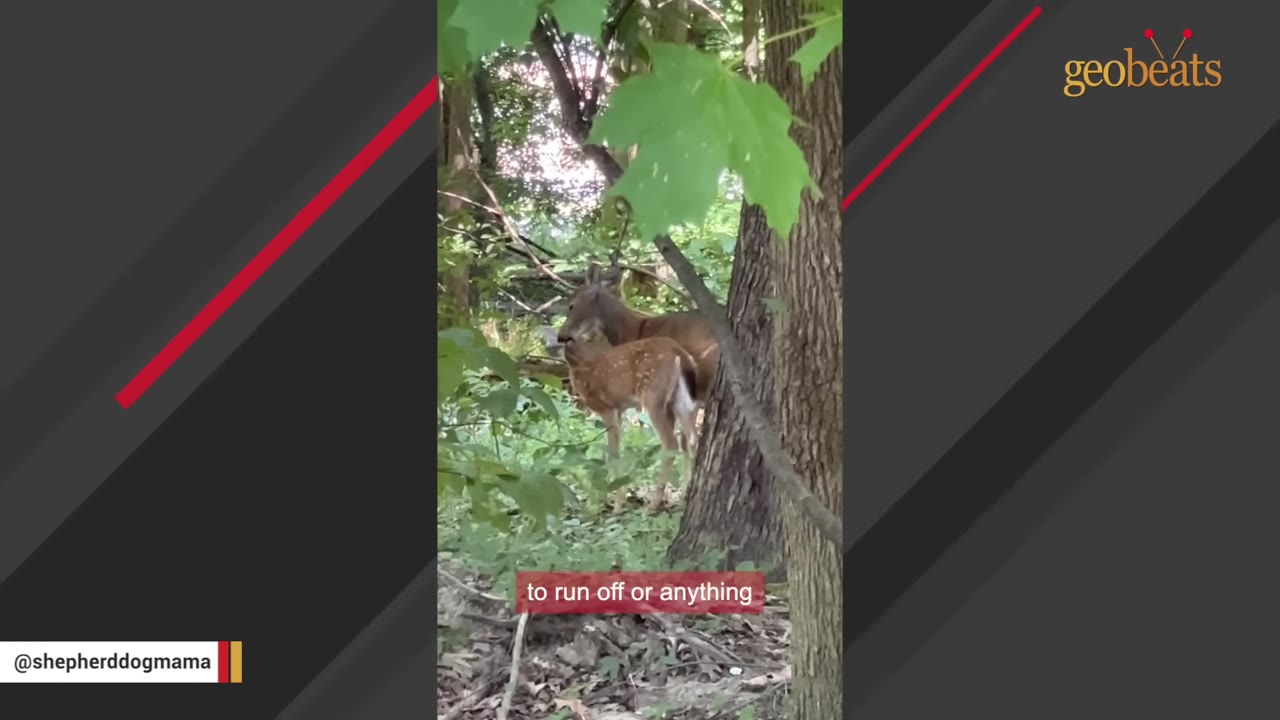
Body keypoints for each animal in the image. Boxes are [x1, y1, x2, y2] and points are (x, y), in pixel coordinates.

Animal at [561, 331, 699, 512]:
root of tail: (679, 352)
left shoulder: (607, 408)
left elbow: (613, 453)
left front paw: (617, 504)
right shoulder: (620, 410)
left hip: (652, 394)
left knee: (671, 443)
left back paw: (653, 504)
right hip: (679, 399)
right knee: (691, 439)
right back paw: (683, 498)